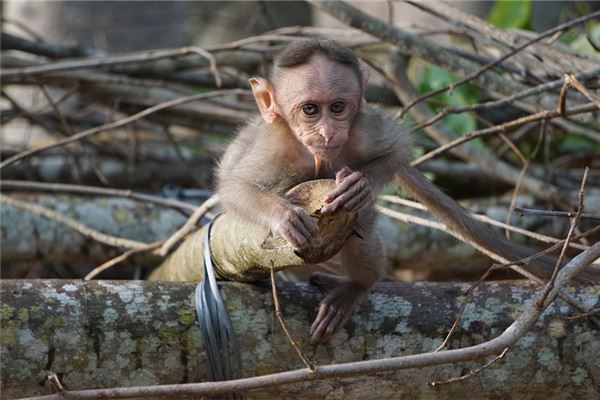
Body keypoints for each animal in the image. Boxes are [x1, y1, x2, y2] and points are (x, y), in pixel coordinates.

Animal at [216, 38, 596, 344]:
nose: (327, 132)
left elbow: (397, 148)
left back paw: (359, 283)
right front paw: (285, 216)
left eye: (337, 107)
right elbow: (234, 187)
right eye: (310, 109)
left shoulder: (362, 128)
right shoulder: (275, 147)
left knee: (361, 216)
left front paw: (359, 184)